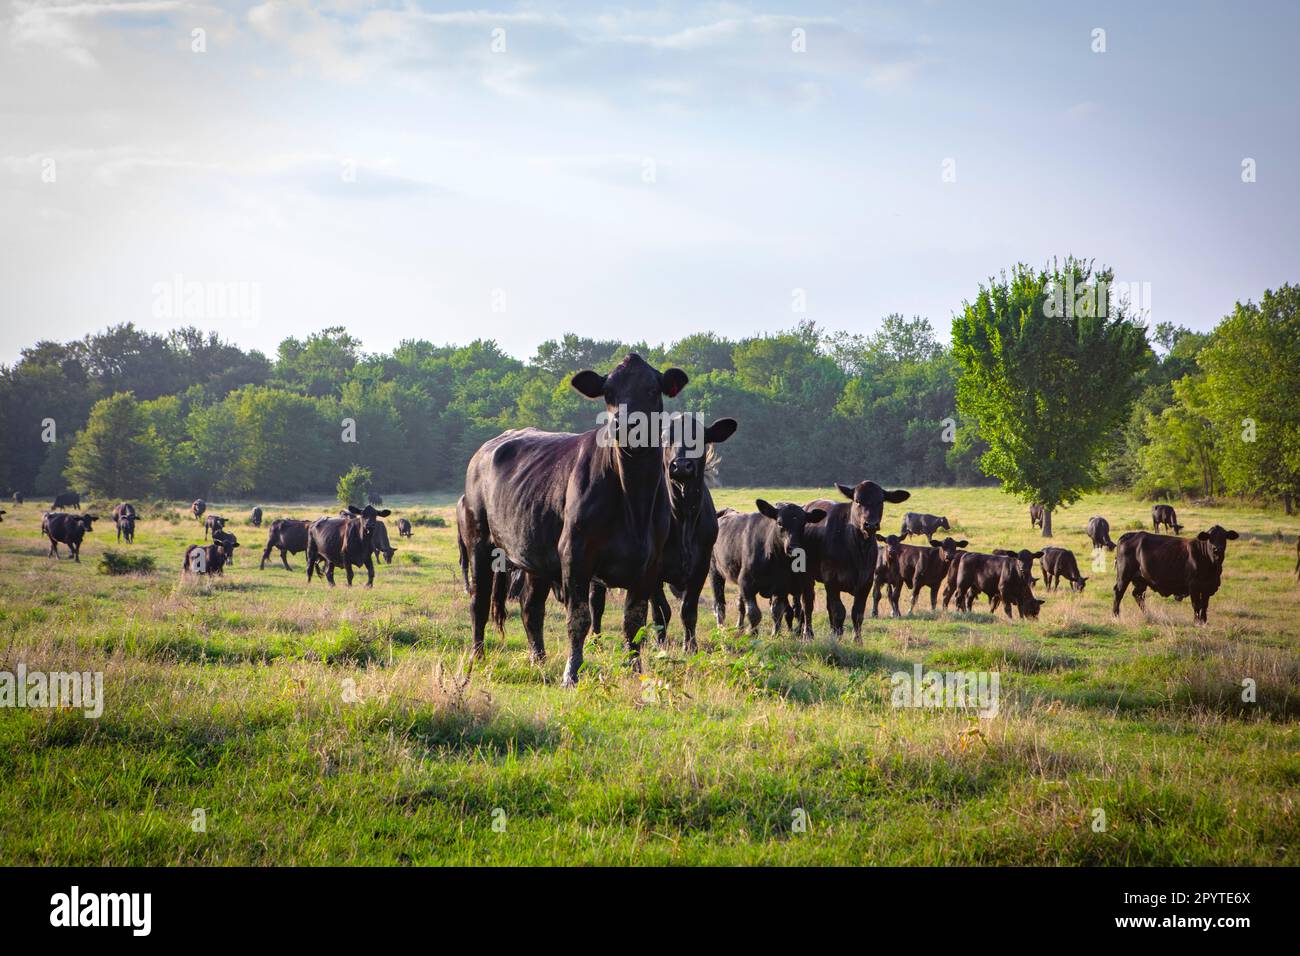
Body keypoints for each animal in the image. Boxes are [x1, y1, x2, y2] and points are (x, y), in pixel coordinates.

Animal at [460, 354, 690, 685]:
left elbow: (634, 622)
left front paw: (635, 670)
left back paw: (539, 660)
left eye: (650, 389)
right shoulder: (575, 553)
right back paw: (477, 658)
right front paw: (572, 674)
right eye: (608, 392)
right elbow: (579, 618)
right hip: (479, 540)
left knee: (531, 608)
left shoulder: (649, 565)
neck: (633, 498)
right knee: (479, 603)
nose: (624, 424)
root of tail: (485, 449)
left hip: (535, 554)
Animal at [591, 416, 738, 651]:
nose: (681, 465)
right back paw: (595, 642)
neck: (683, 516)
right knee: (596, 604)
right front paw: (661, 645)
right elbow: (661, 611)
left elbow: (688, 610)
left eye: (699, 437)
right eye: (664, 437)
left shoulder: (701, 566)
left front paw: (691, 647)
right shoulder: (654, 569)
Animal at [711, 500, 826, 636]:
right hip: (715, 571)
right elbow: (754, 613)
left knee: (740, 604)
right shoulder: (746, 583)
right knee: (719, 604)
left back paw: (739, 627)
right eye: (779, 523)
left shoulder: (781, 586)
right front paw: (752, 633)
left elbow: (777, 611)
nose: (793, 547)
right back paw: (721, 629)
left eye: (803, 524)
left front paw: (775, 634)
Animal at [798, 481, 911, 641]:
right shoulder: (831, 579)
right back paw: (808, 634)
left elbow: (857, 613)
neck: (858, 549)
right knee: (807, 604)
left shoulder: (867, 581)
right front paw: (838, 638)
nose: (871, 524)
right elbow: (839, 611)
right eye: (858, 501)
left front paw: (857, 640)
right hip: (806, 576)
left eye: (880, 501)